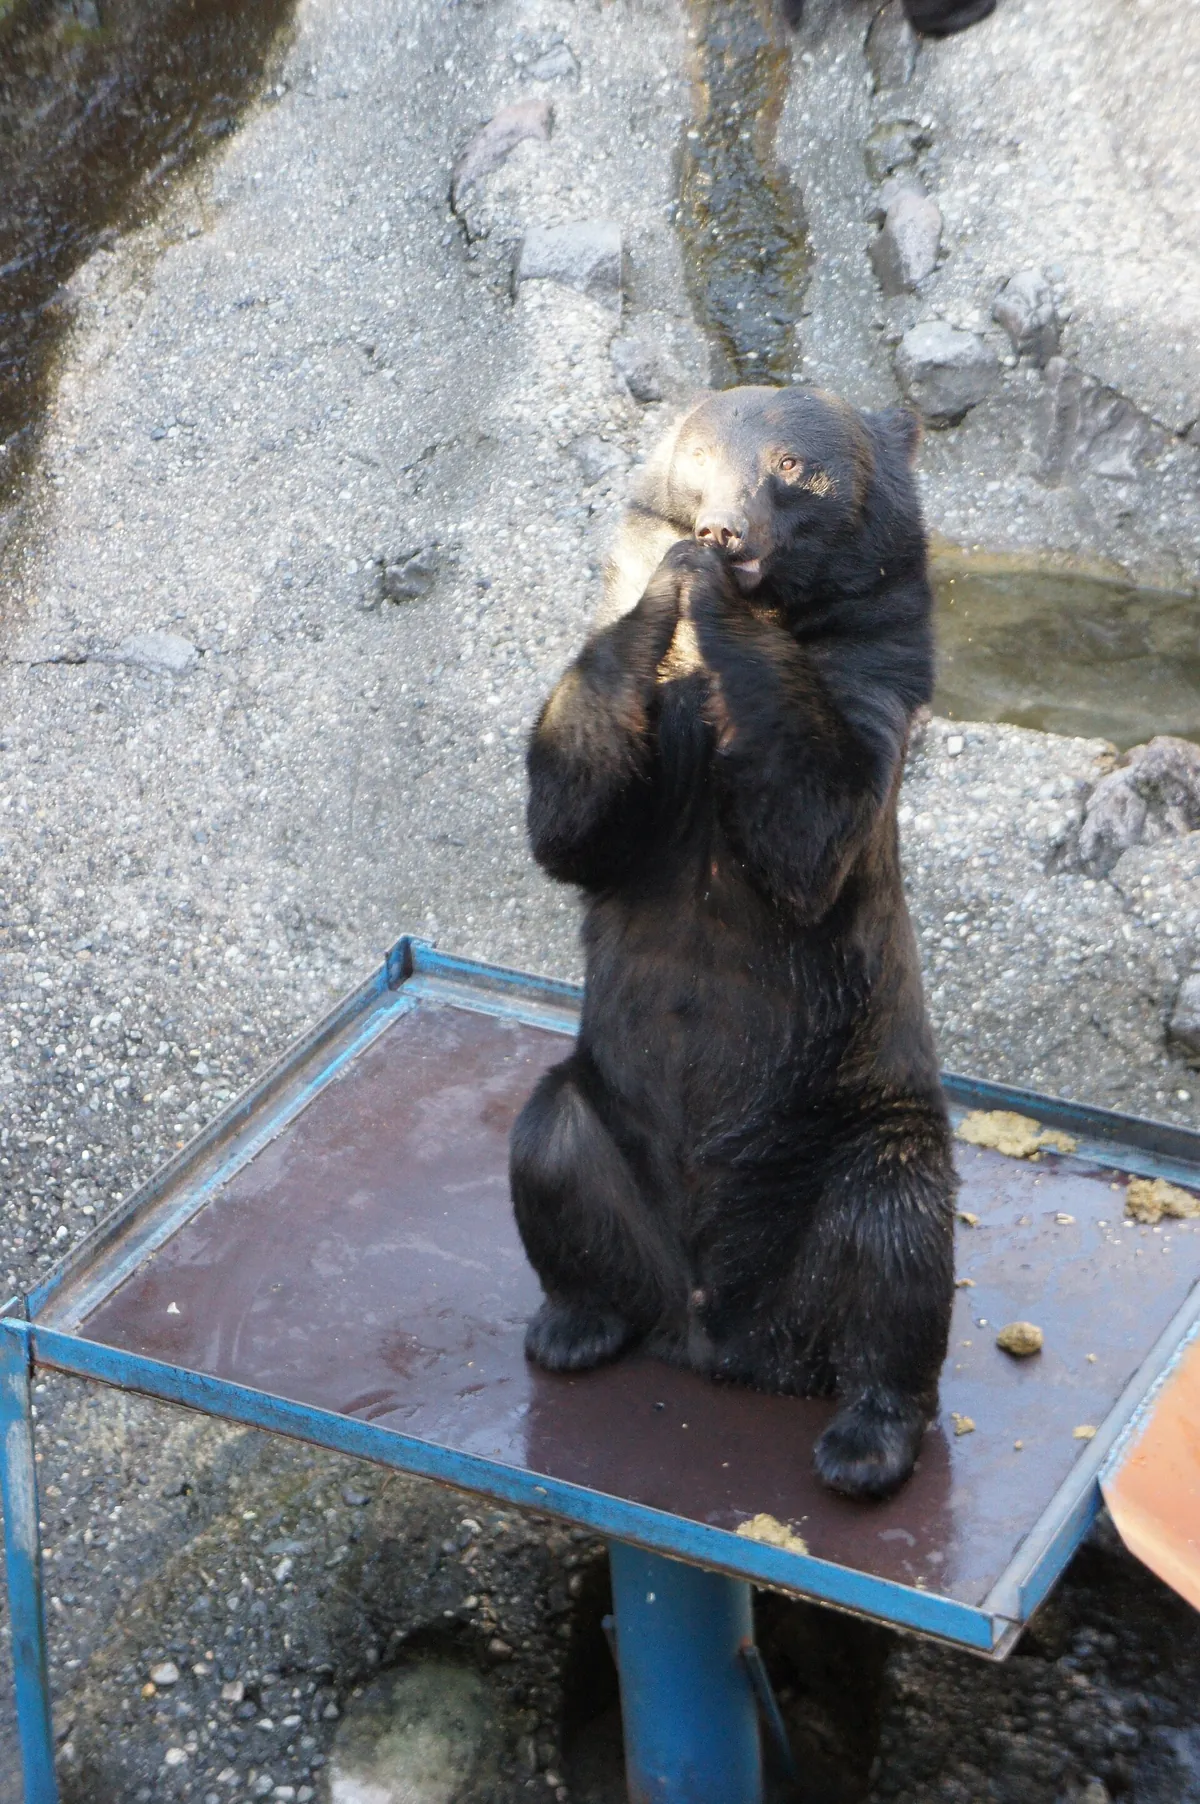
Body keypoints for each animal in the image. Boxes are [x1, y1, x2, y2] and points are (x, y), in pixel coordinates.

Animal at [509, 384, 956, 1501]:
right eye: (701, 454)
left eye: (795, 466)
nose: (724, 532)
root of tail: (726, 1333)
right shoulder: (644, 728)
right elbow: (575, 815)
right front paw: (671, 577)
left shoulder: (877, 676)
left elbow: (814, 820)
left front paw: (716, 597)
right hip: (604, 1118)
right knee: (549, 1150)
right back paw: (576, 1324)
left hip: (855, 1132)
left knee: (895, 1247)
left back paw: (863, 1440)